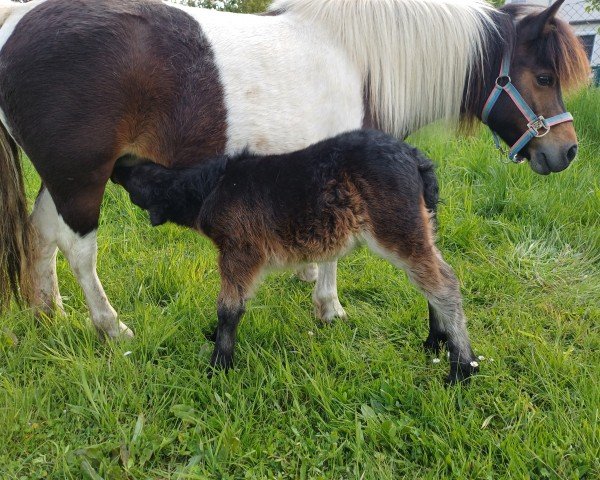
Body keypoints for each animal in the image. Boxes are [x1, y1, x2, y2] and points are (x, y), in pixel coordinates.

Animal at [0, 0, 592, 340]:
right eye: (543, 76)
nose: (566, 151)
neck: (361, 59)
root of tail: (17, 19)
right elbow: (334, 255)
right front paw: (328, 307)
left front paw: (308, 279)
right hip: (82, 179)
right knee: (78, 248)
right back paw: (110, 326)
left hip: (62, 179)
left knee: (42, 233)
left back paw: (49, 312)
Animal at [111, 129, 478, 384]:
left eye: (145, 178)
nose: (117, 165)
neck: (212, 185)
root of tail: (416, 158)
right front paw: (215, 341)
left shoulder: (240, 250)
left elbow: (229, 307)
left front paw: (220, 364)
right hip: (420, 224)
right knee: (431, 277)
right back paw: (436, 341)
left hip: (396, 227)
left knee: (443, 283)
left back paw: (462, 367)